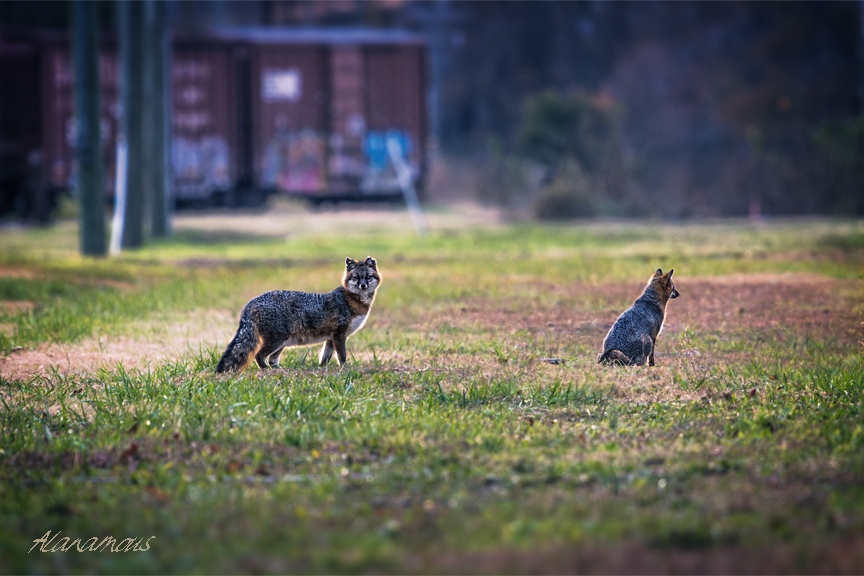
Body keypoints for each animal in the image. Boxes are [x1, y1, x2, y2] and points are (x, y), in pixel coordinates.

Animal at [215, 256, 381, 373]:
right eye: (356, 278)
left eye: (368, 277)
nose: (363, 285)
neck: (351, 299)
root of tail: (250, 302)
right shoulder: (339, 335)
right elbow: (342, 356)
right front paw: (344, 370)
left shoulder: (331, 338)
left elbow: (325, 357)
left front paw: (322, 370)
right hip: (276, 341)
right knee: (259, 356)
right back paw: (268, 372)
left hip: (281, 343)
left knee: (272, 360)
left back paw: (280, 371)